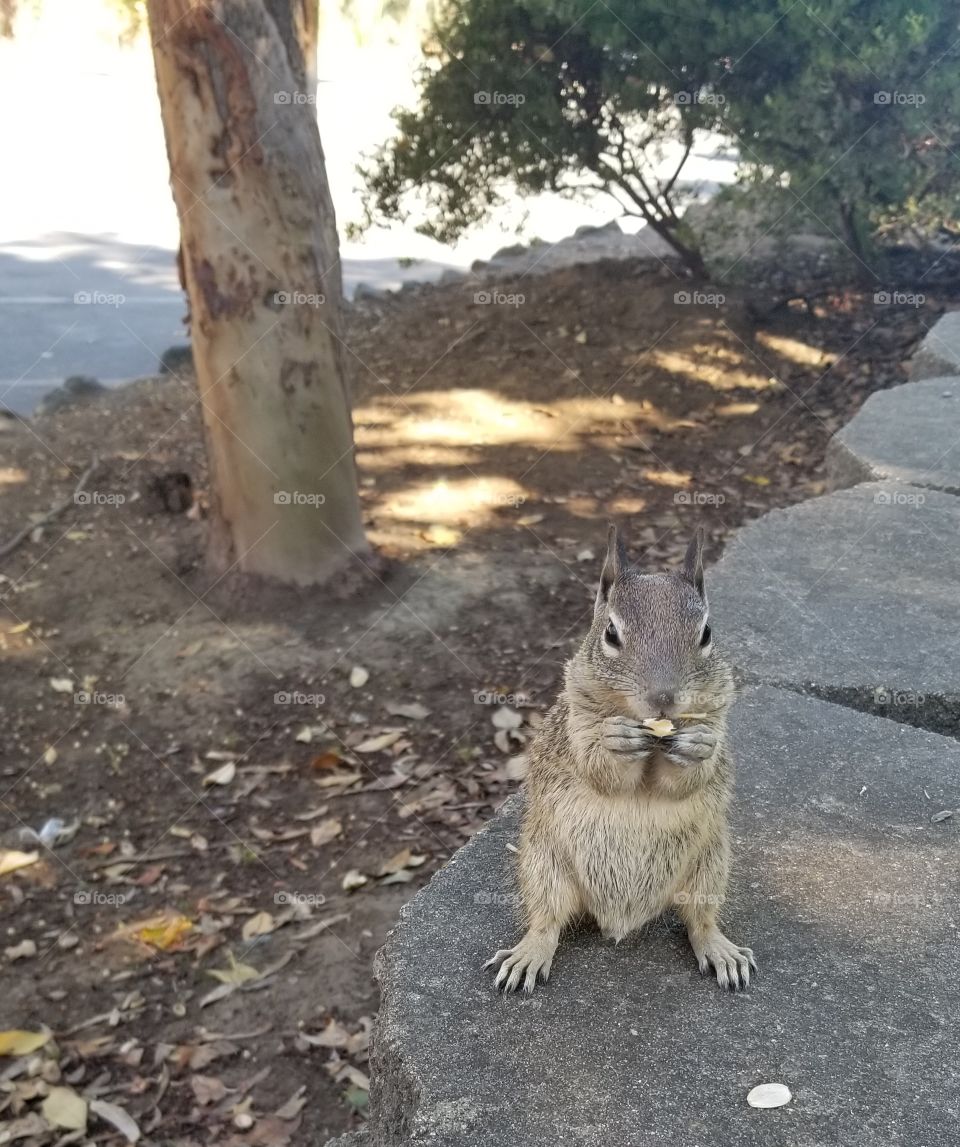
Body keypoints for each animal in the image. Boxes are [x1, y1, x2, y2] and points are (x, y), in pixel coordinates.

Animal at [486, 525, 755, 993]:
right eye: (611, 634)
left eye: (706, 633)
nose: (664, 698)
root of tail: (619, 920)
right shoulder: (575, 725)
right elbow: (598, 769)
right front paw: (615, 741)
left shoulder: (717, 716)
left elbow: (690, 777)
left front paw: (698, 746)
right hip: (544, 865)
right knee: (547, 921)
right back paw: (528, 953)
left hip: (709, 866)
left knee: (699, 920)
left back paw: (719, 948)